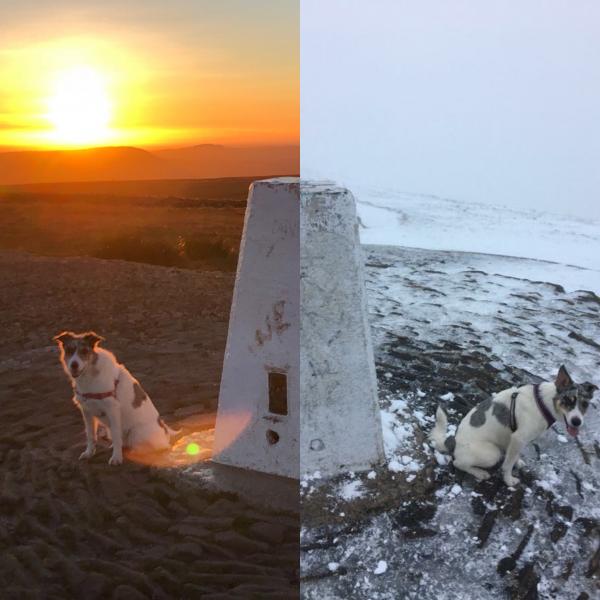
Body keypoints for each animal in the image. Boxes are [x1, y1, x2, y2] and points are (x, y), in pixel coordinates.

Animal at [54, 332, 178, 464]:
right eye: (69, 350)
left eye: (84, 351)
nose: (74, 365)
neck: (90, 375)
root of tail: (165, 431)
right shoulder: (86, 411)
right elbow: (90, 435)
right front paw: (89, 453)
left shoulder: (112, 409)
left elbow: (116, 436)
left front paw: (116, 458)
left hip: (136, 432)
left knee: (157, 447)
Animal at [428, 366, 596, 488]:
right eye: (568, 400)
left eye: (585, 404)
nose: (577, 422)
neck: (543, 402)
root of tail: (453, 441)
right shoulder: (518, 438)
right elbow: (507, 465)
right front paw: (508, 480)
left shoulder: (518, 440)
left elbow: (514, 456)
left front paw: (518, 461)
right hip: (491, 454)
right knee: (458, 463)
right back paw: (479, 473)